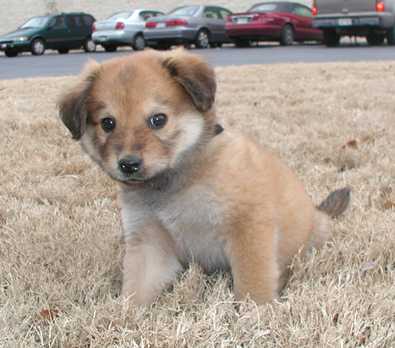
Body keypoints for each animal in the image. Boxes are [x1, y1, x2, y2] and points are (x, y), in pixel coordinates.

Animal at [58, 49, 350, 304]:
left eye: (158, 119)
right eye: (108, 123)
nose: (128, 164)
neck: (175, 182)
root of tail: (320, 212)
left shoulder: (248, 228)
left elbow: (252, 282)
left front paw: (256, 314)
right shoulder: (149, 242)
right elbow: (136, 289)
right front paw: (124, 319)